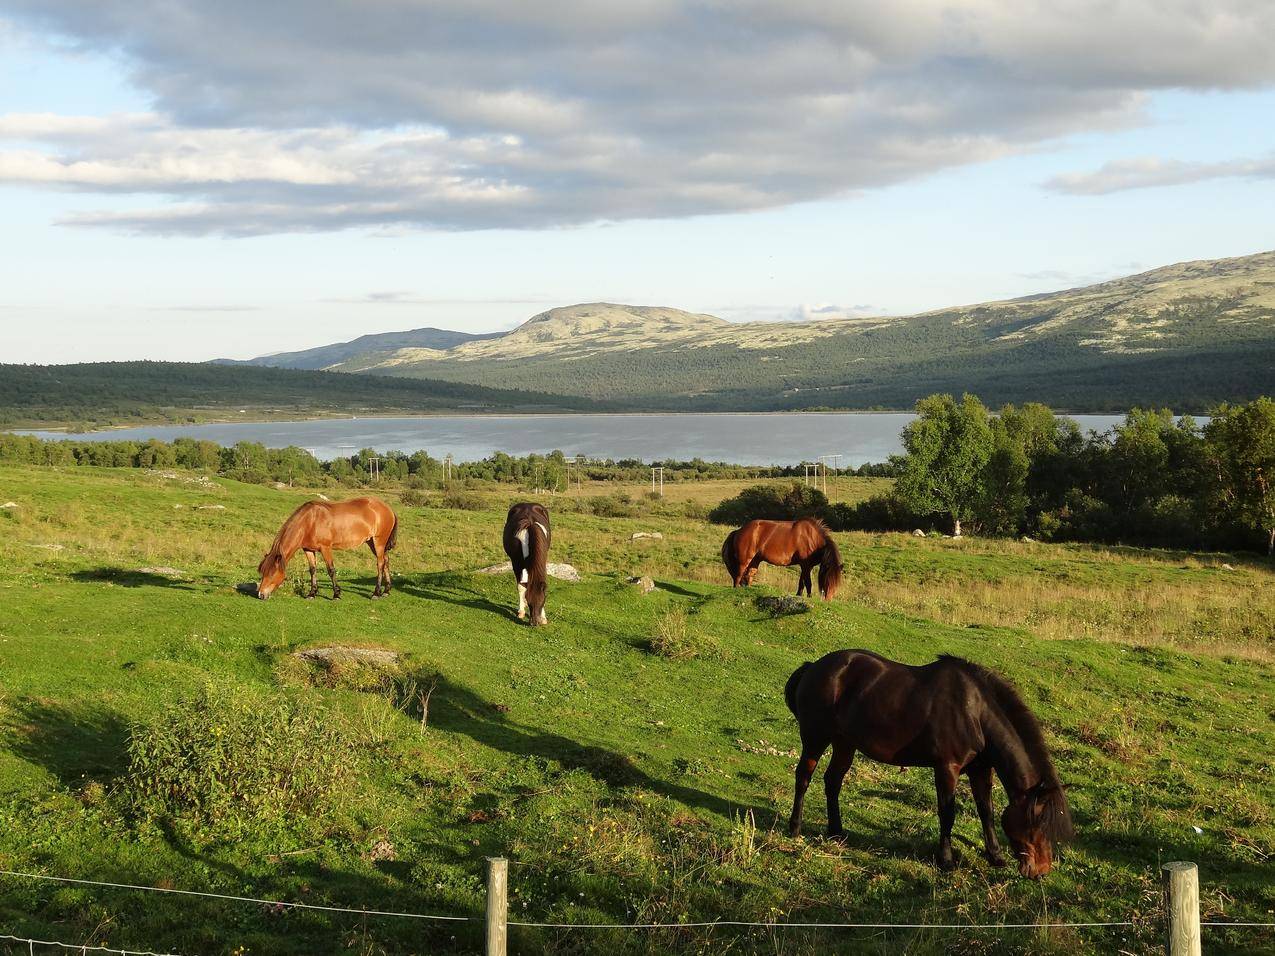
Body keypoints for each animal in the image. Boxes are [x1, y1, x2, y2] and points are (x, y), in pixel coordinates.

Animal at [255, 497, 397, 601]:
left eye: (271, 574)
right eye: (262, 572)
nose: (261, 595)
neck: (309, 521)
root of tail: (388, 508)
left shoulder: (326, 548)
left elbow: (331, 570)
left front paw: (336, 594)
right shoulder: (308, 550)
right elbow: (312, 570)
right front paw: (312, 593)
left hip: (379, 542)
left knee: (380, 564)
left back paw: (376, 593)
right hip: (372, 542)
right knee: (386, 561)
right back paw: (386, 591)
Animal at [780, 647, 1071, 882]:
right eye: (1038, 824)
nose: (1041, 871)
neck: (975, 713)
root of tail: (814, 666)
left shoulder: (980, 769)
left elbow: (986, 811)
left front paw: (995, 856)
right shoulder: (947, 768)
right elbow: (947, 814)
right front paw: (946, 860)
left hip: (844, 743)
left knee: (833, 781)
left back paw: (836, 832)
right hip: (816, 738)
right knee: (803, 777)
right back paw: (795, 828)